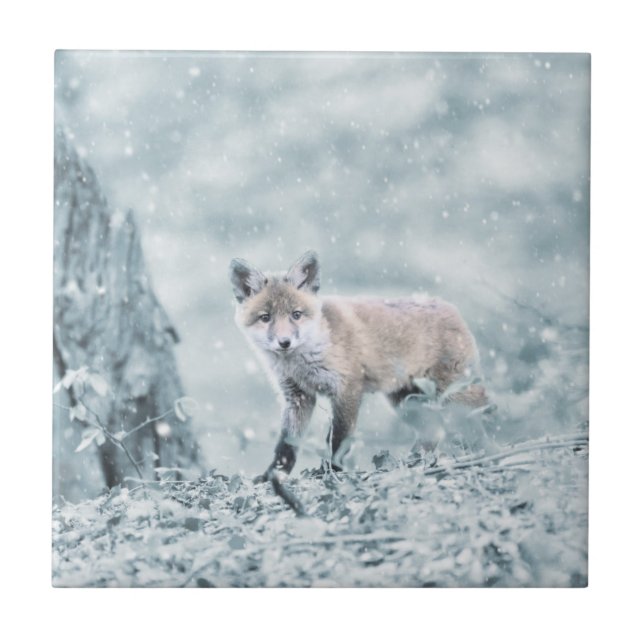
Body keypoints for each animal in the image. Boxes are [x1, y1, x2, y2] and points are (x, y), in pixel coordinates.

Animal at [229, 250, 490, 481]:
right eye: (266, 318)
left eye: (296, 314)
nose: (284, 342)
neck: (304, 360)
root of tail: (451, 308)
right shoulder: (298, 397)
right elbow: (286, 445)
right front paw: (272, 476)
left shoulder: (347, 388)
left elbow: (338, 439)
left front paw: (331, 471)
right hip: (406, 402)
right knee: (433, 432)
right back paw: (414, 462)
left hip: (453, 395)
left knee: (481, 416)